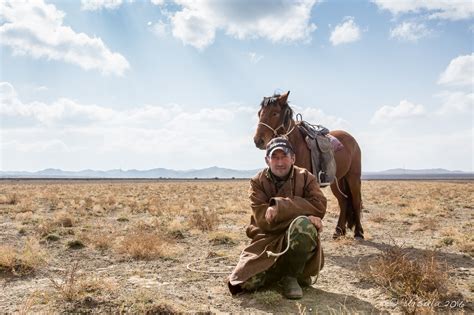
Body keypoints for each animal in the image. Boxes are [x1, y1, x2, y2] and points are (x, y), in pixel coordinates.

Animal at [254, 91, 364, 239]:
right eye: (260, 113)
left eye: (275, 113)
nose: (258, 140)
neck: (296, 145)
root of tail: (352, 140)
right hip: (337, 181)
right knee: (344, 201)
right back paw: (338, 231)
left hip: (353, 177)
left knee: (356, 201)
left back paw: (358, 232)